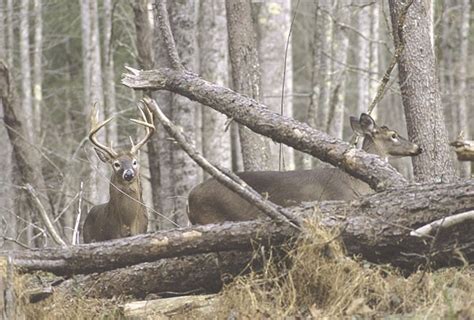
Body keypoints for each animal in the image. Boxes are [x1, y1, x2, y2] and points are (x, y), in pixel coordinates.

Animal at [82, 101, 155, 244]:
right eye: (116, 164)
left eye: (135, 162)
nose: (129, 174)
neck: (128, 223)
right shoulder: (113, 236)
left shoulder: (141, 231)